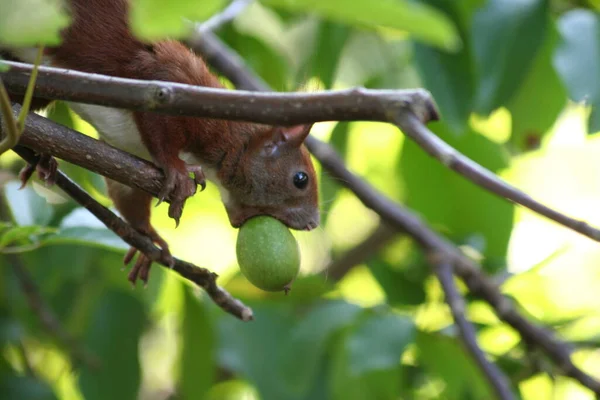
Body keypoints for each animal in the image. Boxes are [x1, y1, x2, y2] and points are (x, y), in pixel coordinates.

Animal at [3, 0, 318, 284]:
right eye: (300, 179)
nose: (313, 223)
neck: (230, 137)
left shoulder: (129, 151)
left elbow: (126, 190)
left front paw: (148, 239)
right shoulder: (168, 85)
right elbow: (159, 128)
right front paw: (179, 173)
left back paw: (40, 155)